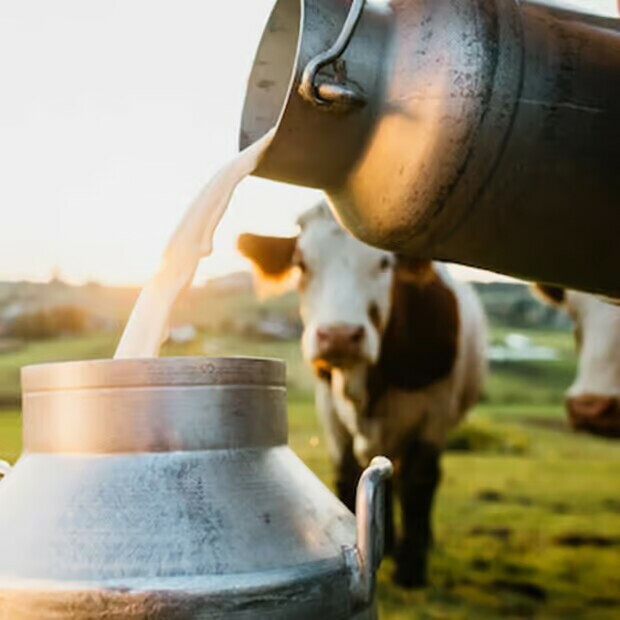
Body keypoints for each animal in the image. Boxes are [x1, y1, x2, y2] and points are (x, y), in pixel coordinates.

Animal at [237, 203, 490, 588]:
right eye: (301, 263)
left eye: (384, 263)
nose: (339, 336)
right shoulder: (328, 408)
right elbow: (347, 475)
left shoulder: (435, 410)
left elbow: (419, 480)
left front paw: (412, 568)